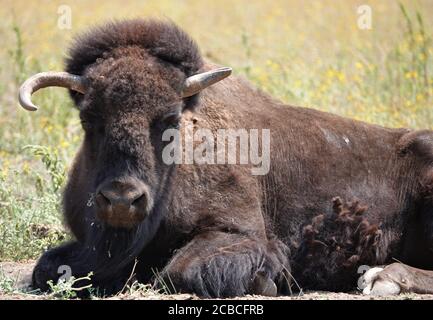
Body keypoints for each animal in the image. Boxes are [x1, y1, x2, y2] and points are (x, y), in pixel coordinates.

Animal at [18, 18, 432, 296]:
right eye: (89, 119)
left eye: (170, 119)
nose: (122, 199)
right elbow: (48, 267)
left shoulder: (237, 230)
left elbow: (179, 271)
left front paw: (267, 282)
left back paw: (380, 278)